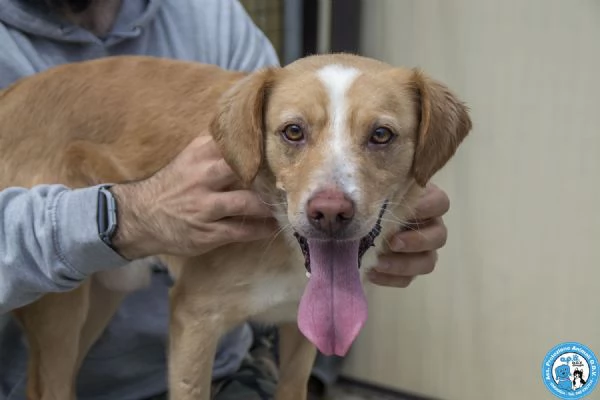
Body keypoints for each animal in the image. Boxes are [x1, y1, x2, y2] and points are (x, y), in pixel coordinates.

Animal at [0, 54, 472, 400]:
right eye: (293, 131)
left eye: (381, 135)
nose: (330, 213)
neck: (282, 247)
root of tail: (11, 94)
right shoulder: (193, 320)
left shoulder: (301, 334)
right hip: (61, 305)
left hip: (103, 293)